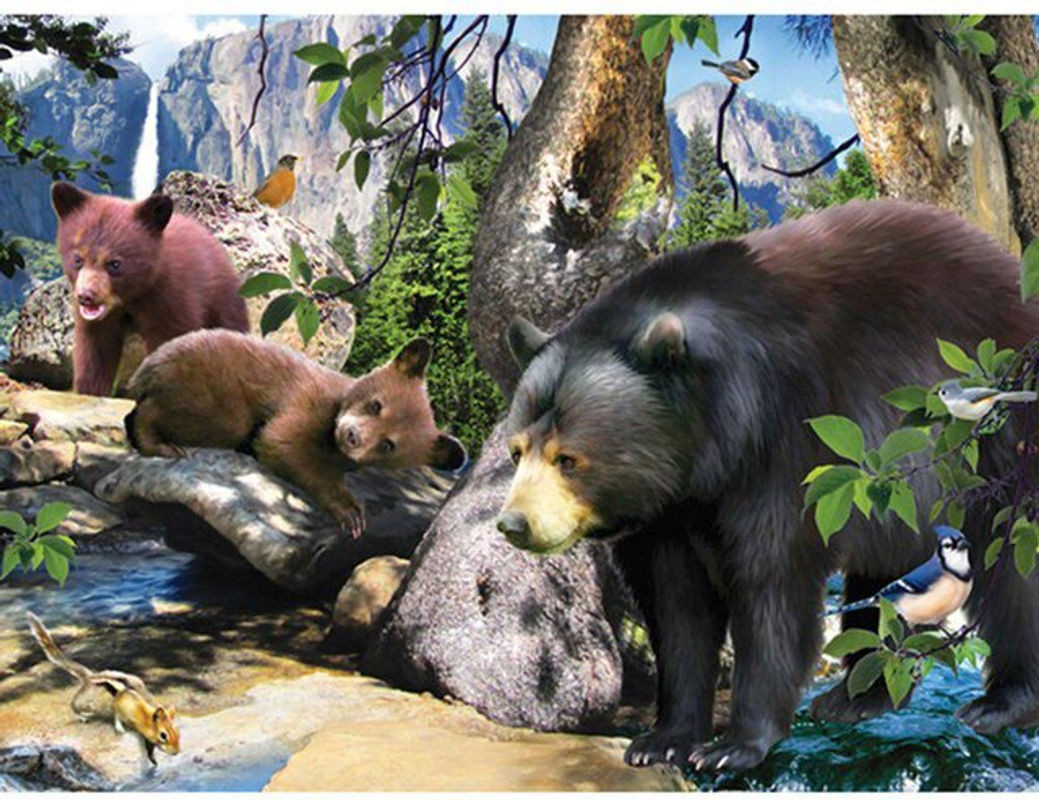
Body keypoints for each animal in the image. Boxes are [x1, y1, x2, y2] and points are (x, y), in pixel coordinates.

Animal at [51, 181, 249, 397]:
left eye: (114, 264)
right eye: (78, 259)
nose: (86, 296)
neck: (133, 294)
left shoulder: (171, 298)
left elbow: (171, 343)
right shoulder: (98, 322)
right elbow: (95, 352)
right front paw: (91, 391)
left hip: (223, 298)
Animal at [125, 329, 467, 537]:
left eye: (389, 445)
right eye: (376, 404)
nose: (352, 436)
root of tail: (150, 362)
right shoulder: (305, 403)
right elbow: (282, 442)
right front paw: (349, 512)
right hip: (213, 392)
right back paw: (161, 444)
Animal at [497, 198, 1039, 772]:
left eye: (568, 458)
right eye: (517, 450)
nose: (514, 524)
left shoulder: (783, 449)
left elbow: (771, 582)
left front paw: (732, 746)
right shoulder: (669, 513)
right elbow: (676, 607)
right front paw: (663, 738)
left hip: (998, 442)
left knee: (1014, 566)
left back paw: (1001, 702)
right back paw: (856, 696)